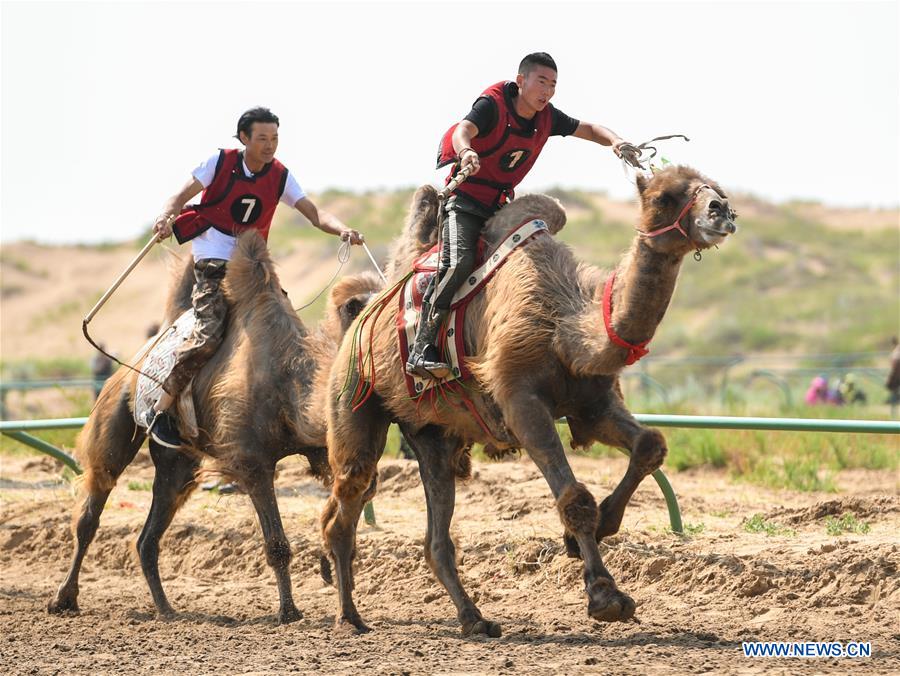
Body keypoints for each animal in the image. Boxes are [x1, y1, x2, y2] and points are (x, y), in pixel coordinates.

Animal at [48, 231, 380, 624]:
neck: (291, 383)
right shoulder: (251, 459)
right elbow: (277, 544)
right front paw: (288, 612)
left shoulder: (321, 449)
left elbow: (352, 498)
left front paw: (330, 571)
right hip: (114, 417)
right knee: (93, 505)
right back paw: (64, 599)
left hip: (179, 460)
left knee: (149, 535)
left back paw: (167, 610)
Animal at [324, 165, 740, 632]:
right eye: (663, 197)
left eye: (716, 188)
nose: (721, 211)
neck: (563, 325)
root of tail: (359, 318)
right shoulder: (520, 401)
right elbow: (575, 499)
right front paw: (606, 596)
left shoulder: (593, 403)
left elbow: (650, 444)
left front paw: (597, 531)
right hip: (354, 399)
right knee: (350, 494)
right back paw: (350, 617)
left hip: (432, 433)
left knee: (436, 537)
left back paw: (474, 619)